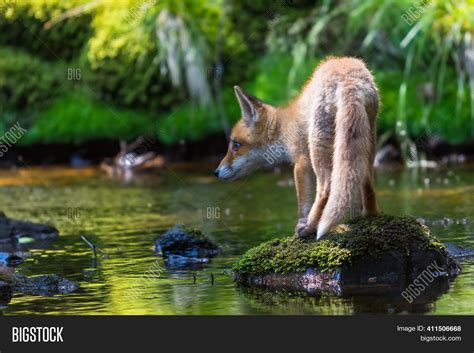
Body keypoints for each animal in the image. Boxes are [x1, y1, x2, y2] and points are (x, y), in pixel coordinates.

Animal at [217, 56, 380, 238]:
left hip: (317, 146)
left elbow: (302, 204)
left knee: (326, 188)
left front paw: (303, 223)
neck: (284, 128)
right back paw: (370, 215)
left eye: (236, 145)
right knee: (367, 179)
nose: (216, 171)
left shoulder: (301, 161)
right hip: (365, 141)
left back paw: (310, 227)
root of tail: (349, 77)